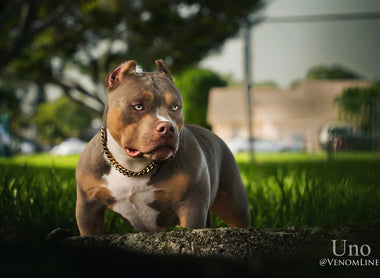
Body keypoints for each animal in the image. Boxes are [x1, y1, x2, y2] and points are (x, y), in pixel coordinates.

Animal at [75, 59, 251, 235]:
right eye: (138, 106)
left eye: (176, 107)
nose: (167, 128)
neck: (133, 167)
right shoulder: (88, 210)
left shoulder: (191, 208)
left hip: (234, 205)